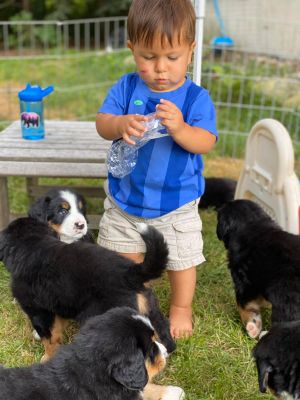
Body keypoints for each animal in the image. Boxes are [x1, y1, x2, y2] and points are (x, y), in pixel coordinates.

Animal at [0, 219, 175, 362]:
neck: (33, 245)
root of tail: (129, 273)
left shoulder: (38, 311)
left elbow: (50, 338)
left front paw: (46, 358)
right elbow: (58, 329)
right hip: (151, 311)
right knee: (165, 340)